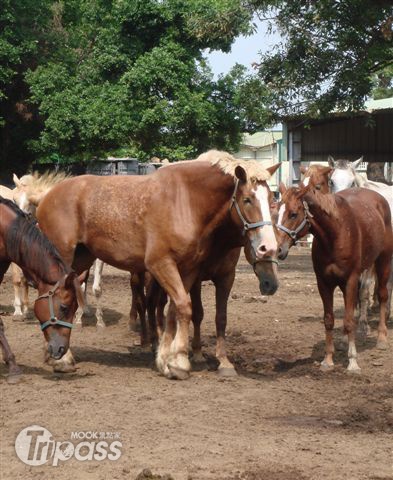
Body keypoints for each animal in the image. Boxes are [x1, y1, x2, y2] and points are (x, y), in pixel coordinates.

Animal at [34, 152, 278, 380]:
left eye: (272, 200)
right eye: (247, 199)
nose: (268, 247)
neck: (187, 201)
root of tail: (47, 197)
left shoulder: (188, 270)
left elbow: (174, 310)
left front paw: (166, 359)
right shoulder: (161, 264)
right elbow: (184, 306)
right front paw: (180, 362)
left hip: (81, 260)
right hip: (62, 259)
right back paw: (61, 358)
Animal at [276, 183, 392, 372]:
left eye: (293, 214)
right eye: (276, 211)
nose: (277, 249)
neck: (335, 234)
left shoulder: (351, 279)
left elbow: (349, 320)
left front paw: (353, 362)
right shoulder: (323, 282)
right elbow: (329, 320)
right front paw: (328, 359)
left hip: (383, 261)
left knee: (382, 295)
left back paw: (381, 338)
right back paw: (344, 341)